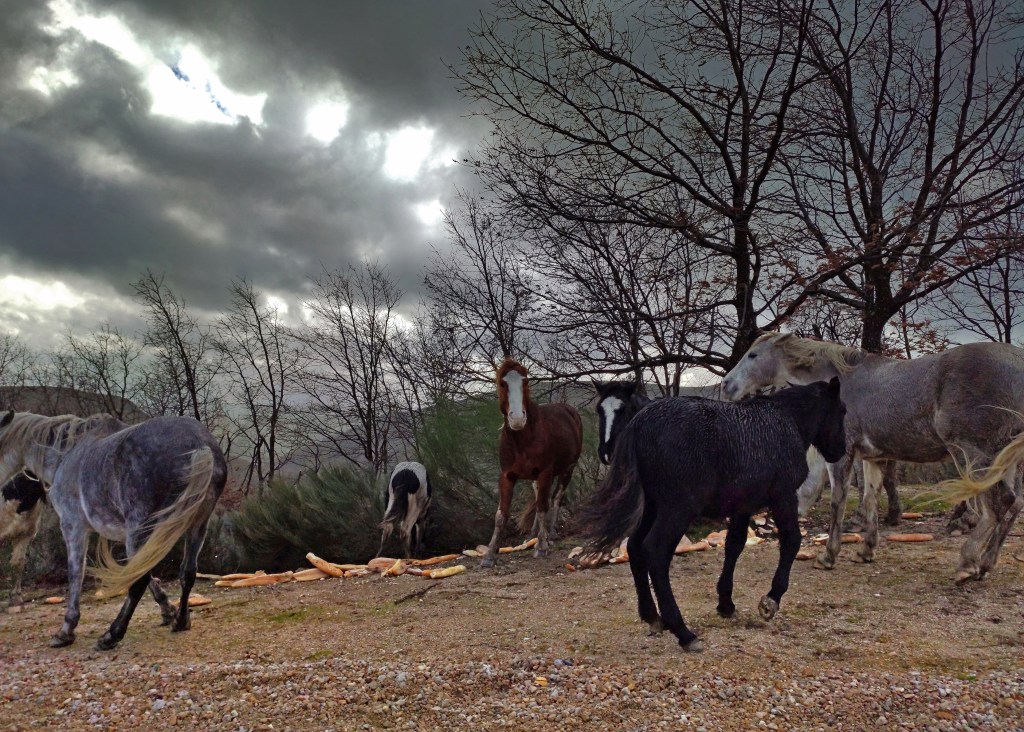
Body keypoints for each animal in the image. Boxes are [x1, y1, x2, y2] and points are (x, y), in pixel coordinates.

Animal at [481, 359, 583, 568]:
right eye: (502, 384)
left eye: (525, 382)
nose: (517, 419)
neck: (523, 440)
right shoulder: (507, 476)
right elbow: (501, 515)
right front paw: (490, 554)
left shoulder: (545, 472)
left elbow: (544, 506)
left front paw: (542, 546)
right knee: (538, 496)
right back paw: (534, 533)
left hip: (567, 469)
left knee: (556, 498)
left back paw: (550, 533)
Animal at [579, 379, 847, 652]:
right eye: (843, 410)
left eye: (620, 410)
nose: (840, 450)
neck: (785, 420)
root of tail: (639, 424)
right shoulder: (783, 497)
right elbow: (792, 540)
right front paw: (771, 600)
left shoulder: (742, 506)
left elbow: (734, 545)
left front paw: (726, 603)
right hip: (677, 509)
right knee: (655, 551)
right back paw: (683, 632)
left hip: (654, 506)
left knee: (634, 546)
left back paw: (652, 616)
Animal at [721, 332, 1024, 582]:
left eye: (753, 355)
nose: (726, 385)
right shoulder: (873, 458)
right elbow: (869, 501)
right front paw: (866, 550)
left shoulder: (843, 454)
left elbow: (838, 501)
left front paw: (828, 556)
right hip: (1005, 458)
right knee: (1013, 504)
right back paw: (986, 564)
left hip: (971, 454)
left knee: (997, 505)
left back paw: (967, 563)